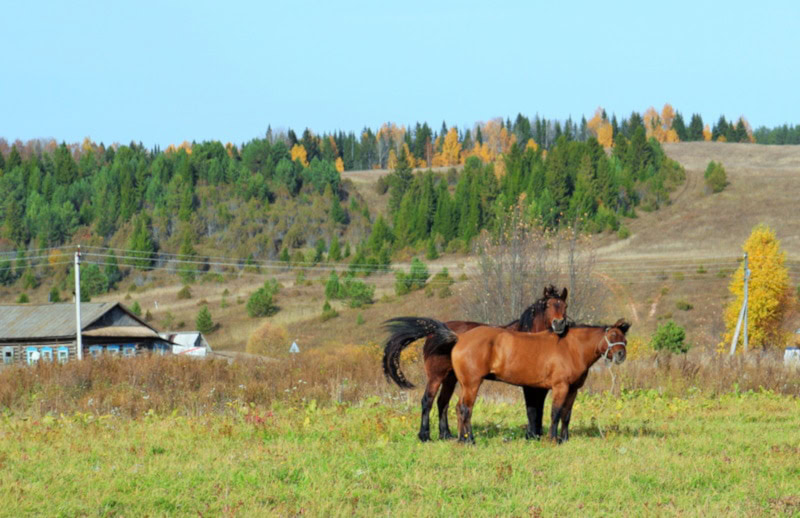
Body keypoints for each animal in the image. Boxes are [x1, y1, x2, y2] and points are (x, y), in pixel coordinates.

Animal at [382, 286, 568, 442]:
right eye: (548, 306)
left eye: (565, 306)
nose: (559, 324)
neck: (530, 337)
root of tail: (438, 332)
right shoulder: (528, 387)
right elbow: (532, 409)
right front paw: (531, 435)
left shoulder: (541, 387)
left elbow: (539, 409)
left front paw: (536, 435)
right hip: (436, 376)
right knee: (428, 400)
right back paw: (425, 436)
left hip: (451, 378)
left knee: (443, 402)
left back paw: (446, 435)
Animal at [445, 319, 631, 443]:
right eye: (613, 335)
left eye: (624, 338)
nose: (621, 355)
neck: (572, 348)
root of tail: (460, 338)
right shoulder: (560, 387)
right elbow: (556, 413)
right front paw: (553, 439)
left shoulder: (573, 389)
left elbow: (566, 415)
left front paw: (565, 439)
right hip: (472, 384)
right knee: (466, 409)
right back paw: (470, 440)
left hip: (465, 385)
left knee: (459, 408)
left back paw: (462, 439)